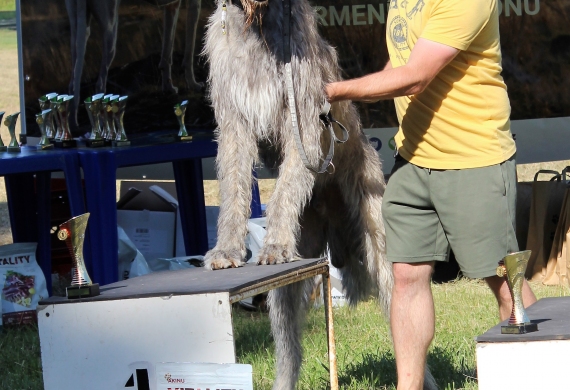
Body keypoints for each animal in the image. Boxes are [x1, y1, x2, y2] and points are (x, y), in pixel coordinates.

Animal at [200, 0, 434, 386]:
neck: (258, 29)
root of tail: (331, 224)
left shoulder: (304, 117)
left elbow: (284, 189)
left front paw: (274, 244)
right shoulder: (235, 121)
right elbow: (233, 190)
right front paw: (227, 250)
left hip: (377, 234)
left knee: (401, 310)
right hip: (297, 264)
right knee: (288, 343)